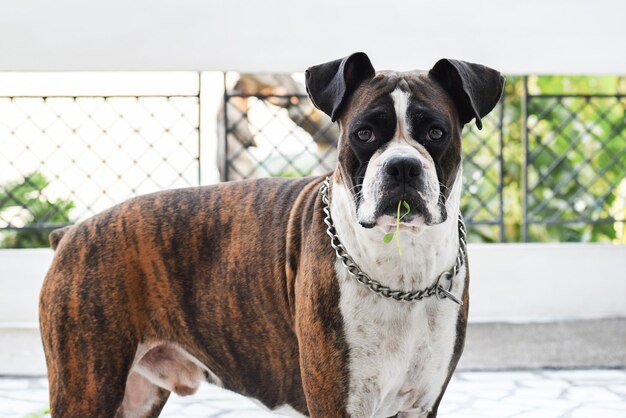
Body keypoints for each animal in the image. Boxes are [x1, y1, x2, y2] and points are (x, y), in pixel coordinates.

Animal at [40, 53, 502, 418]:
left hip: (134, 396)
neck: (401, 266)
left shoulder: (419, 404)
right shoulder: (336, 402)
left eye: (436, 133)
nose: (402, 165)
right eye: (364, 133)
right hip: (88, 389)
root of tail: (72, 232)